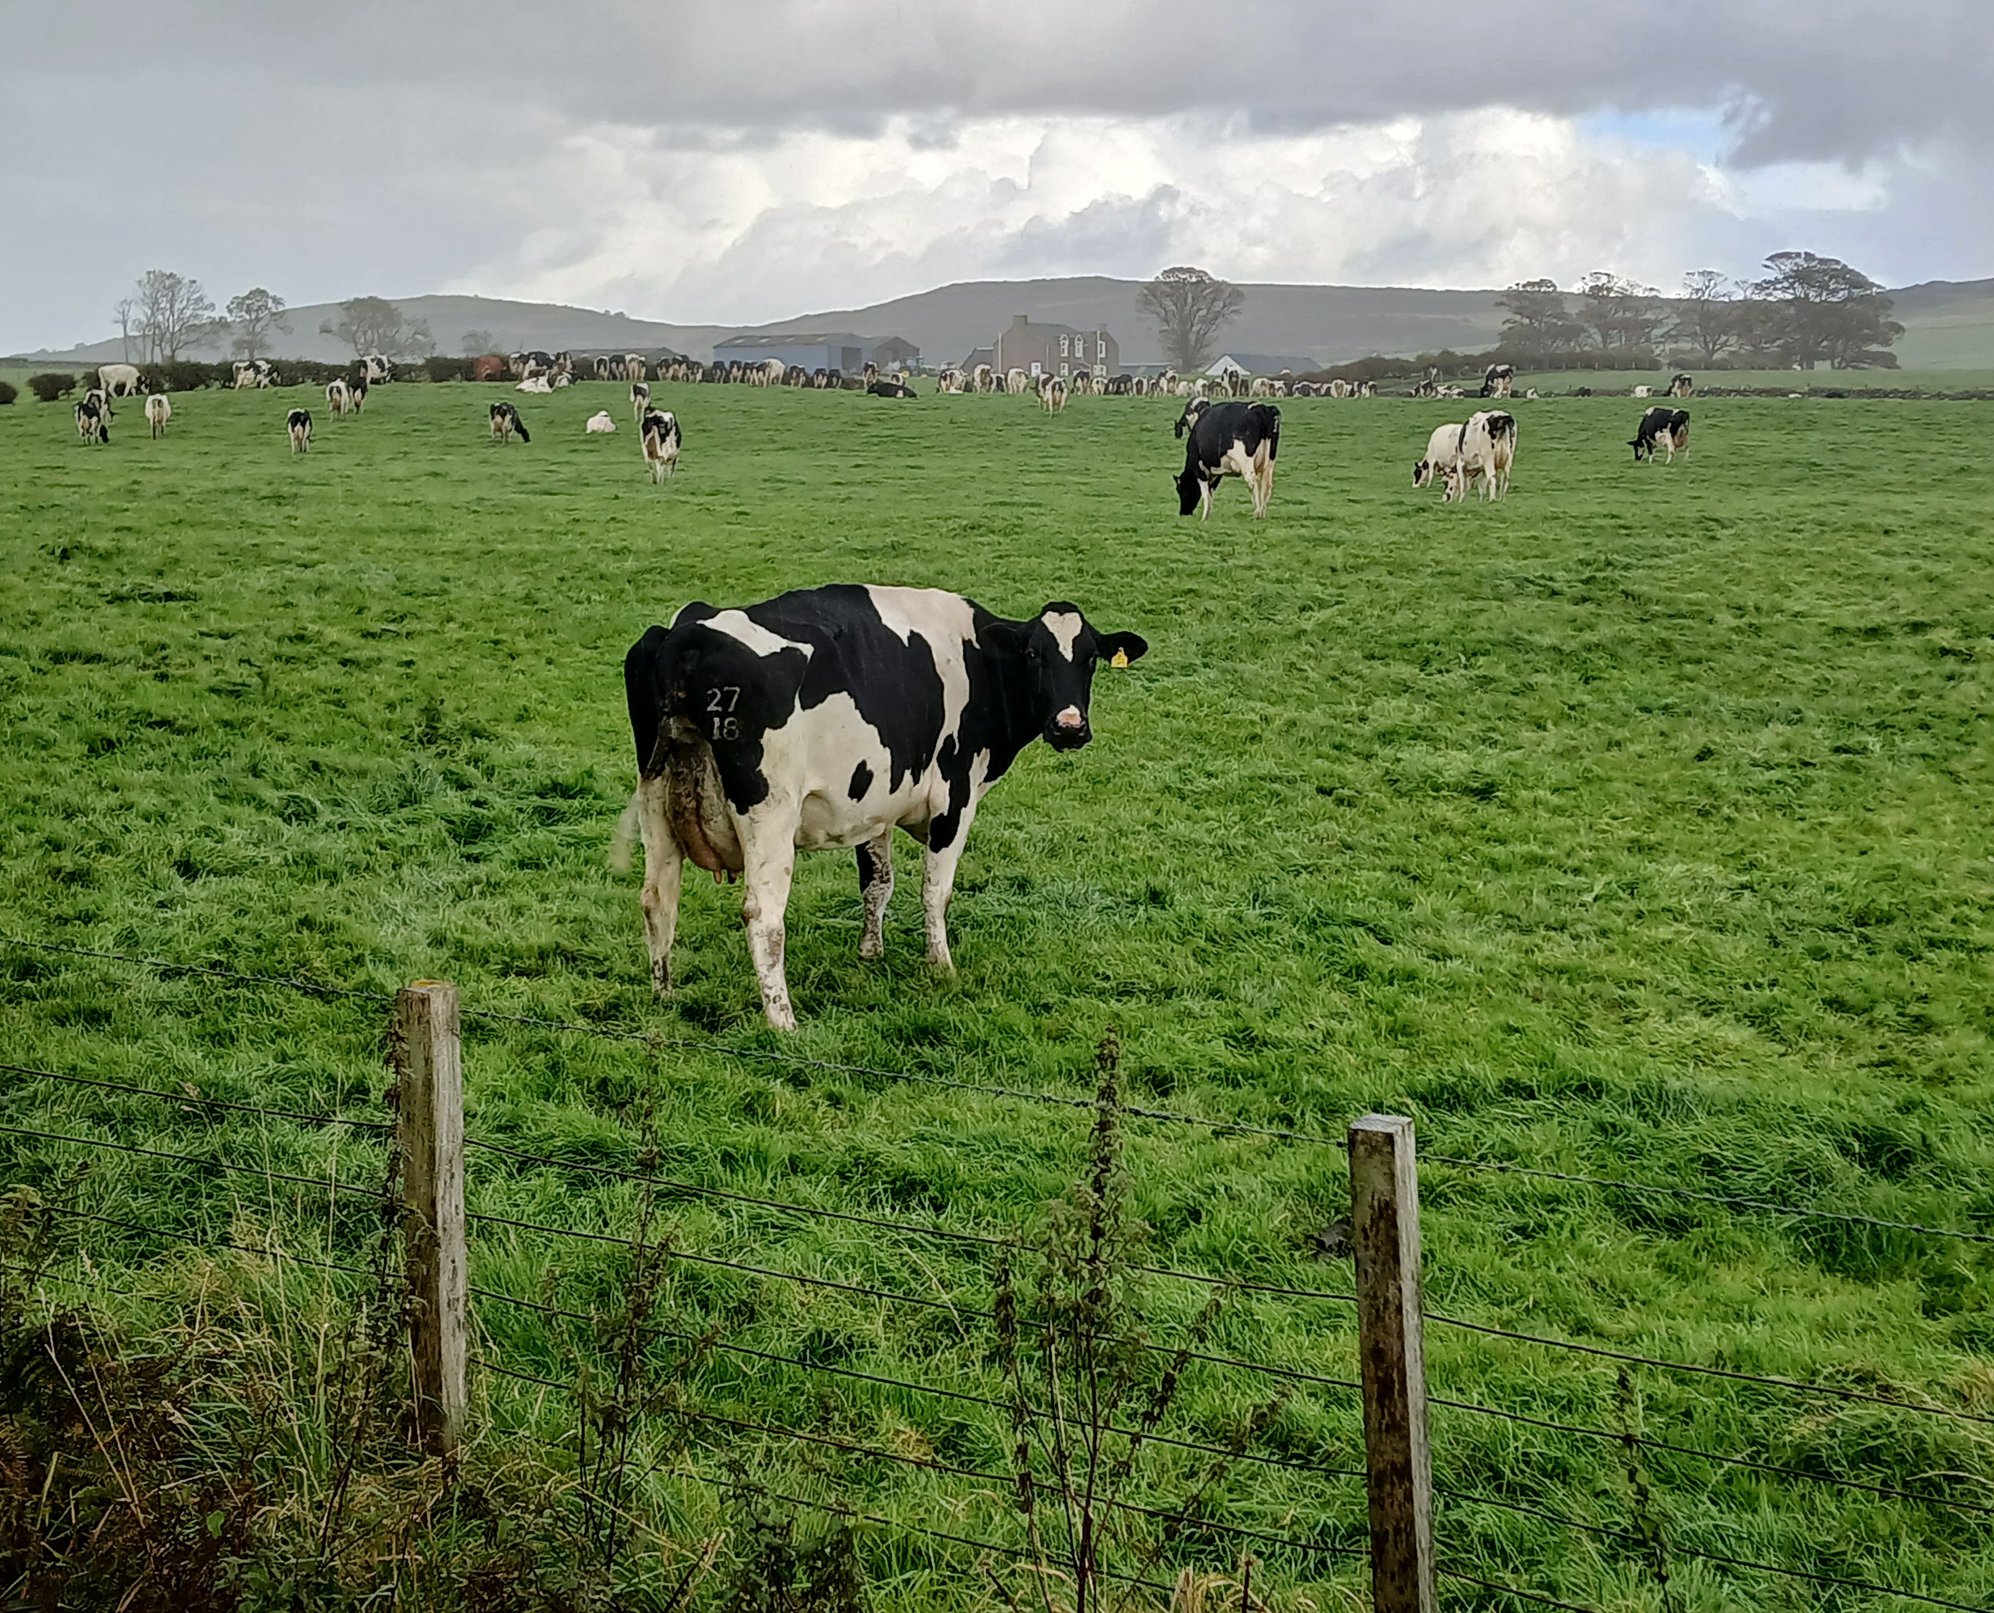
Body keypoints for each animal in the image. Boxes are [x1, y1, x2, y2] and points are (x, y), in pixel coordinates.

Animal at [617, 585, 1148, 1028]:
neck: (979, 660)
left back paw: (663, 995)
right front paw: (941, 968)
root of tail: (686, 634)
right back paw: (783, 1021)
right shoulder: (955, 797)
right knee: (763, 917)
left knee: (657, 897)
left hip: (656, 796)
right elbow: (936, 892)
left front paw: (870, 952)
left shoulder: (875, 805)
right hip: (770, 813)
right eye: (1035, 655)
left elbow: (877, 884)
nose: (1070, 726)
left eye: (1091, 660)